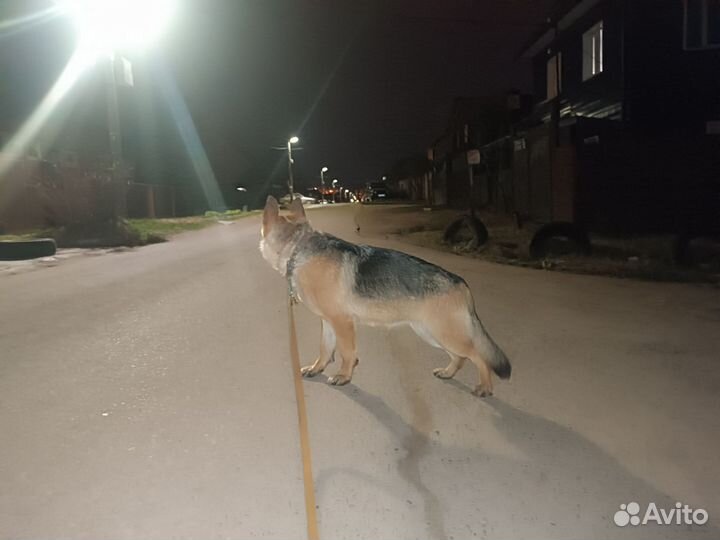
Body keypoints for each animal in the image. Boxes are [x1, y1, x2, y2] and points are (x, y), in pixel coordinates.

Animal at [258, 196, 512, 394]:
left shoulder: (342, 322)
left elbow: (346, 352)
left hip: (444, 333)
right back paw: (448, 373)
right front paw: (317, 368)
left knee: (479, 356)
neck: (298, 248)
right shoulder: (328, 322)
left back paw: (485, 387)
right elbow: (325, 349)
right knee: (460, 357)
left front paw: (344, 376)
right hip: (431, 332)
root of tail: (461, 283)